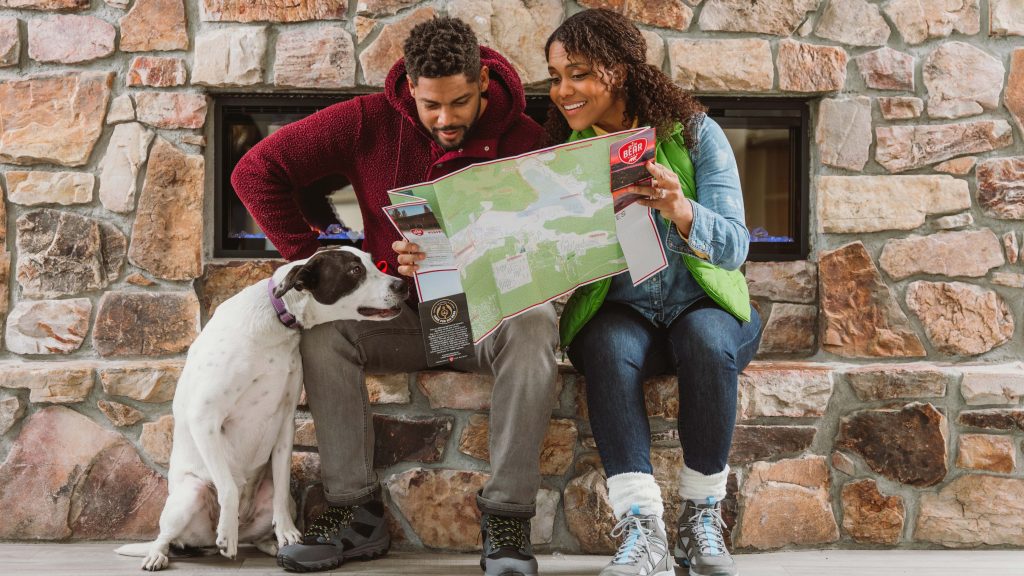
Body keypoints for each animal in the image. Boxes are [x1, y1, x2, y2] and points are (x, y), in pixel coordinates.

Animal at [117, 247, 407, 569]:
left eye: (373, 262)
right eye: (355, 270)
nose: (402, 285)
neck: (277, 322)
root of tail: (203, 542)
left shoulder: (285, 424)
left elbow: (280, 486)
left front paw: (288, 533)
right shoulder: (204, 419)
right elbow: (229, 488)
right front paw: (227, 534)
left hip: (277, 500)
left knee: (261, 527)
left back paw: (272, 543)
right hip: (189, 495)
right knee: (166, 537)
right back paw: (162, 553)